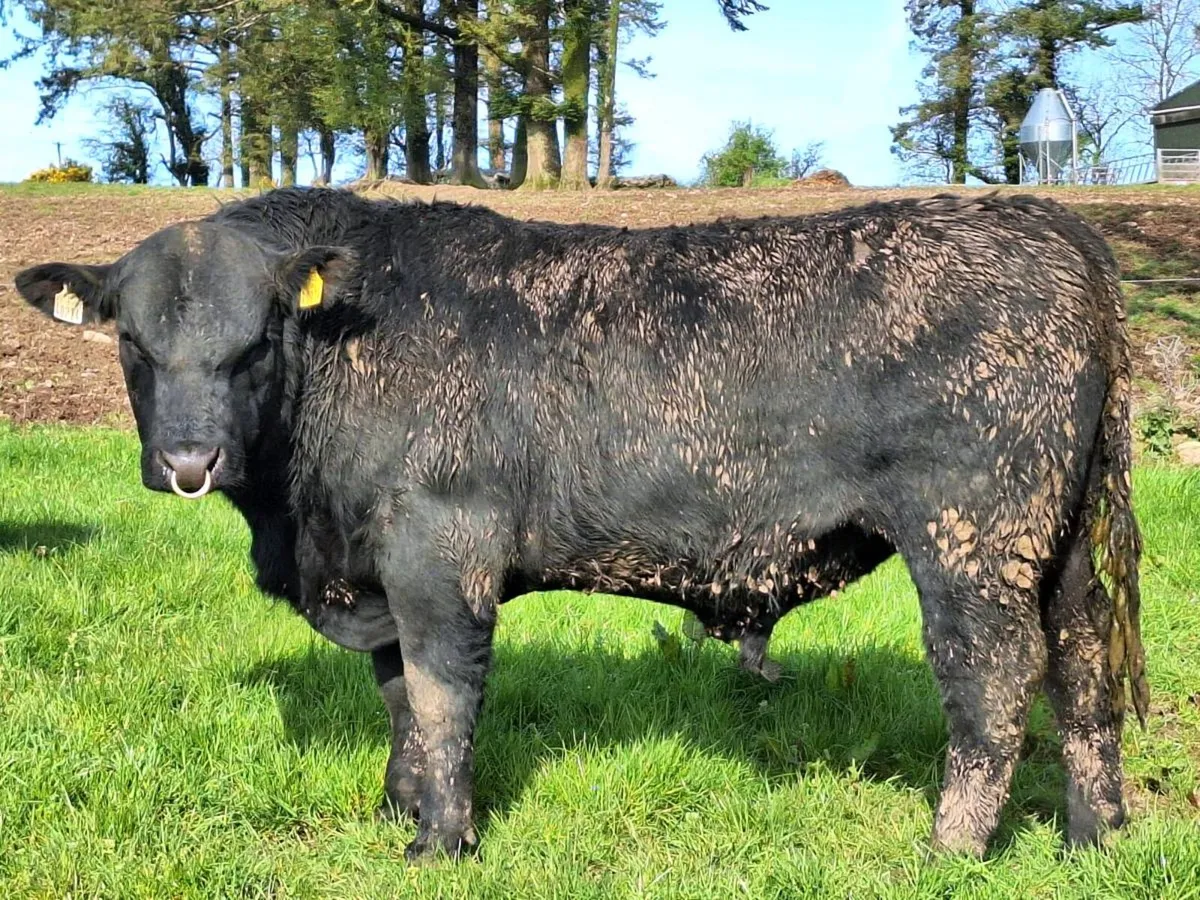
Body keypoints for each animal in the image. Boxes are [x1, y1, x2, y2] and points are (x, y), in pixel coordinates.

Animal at [15, 187, 1148, 862]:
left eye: (255, 341)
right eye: (133, 344)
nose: (188, 464)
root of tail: (1046, 222)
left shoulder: (439, 556)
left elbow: (441, 698)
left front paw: (441, 842)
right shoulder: (377, 570)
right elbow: (395, 698)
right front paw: (393, 810)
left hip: (972, 535)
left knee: (993, 678)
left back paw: (949, 851)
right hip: (1059, 544)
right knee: (1083, 670)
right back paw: (1094, 838)